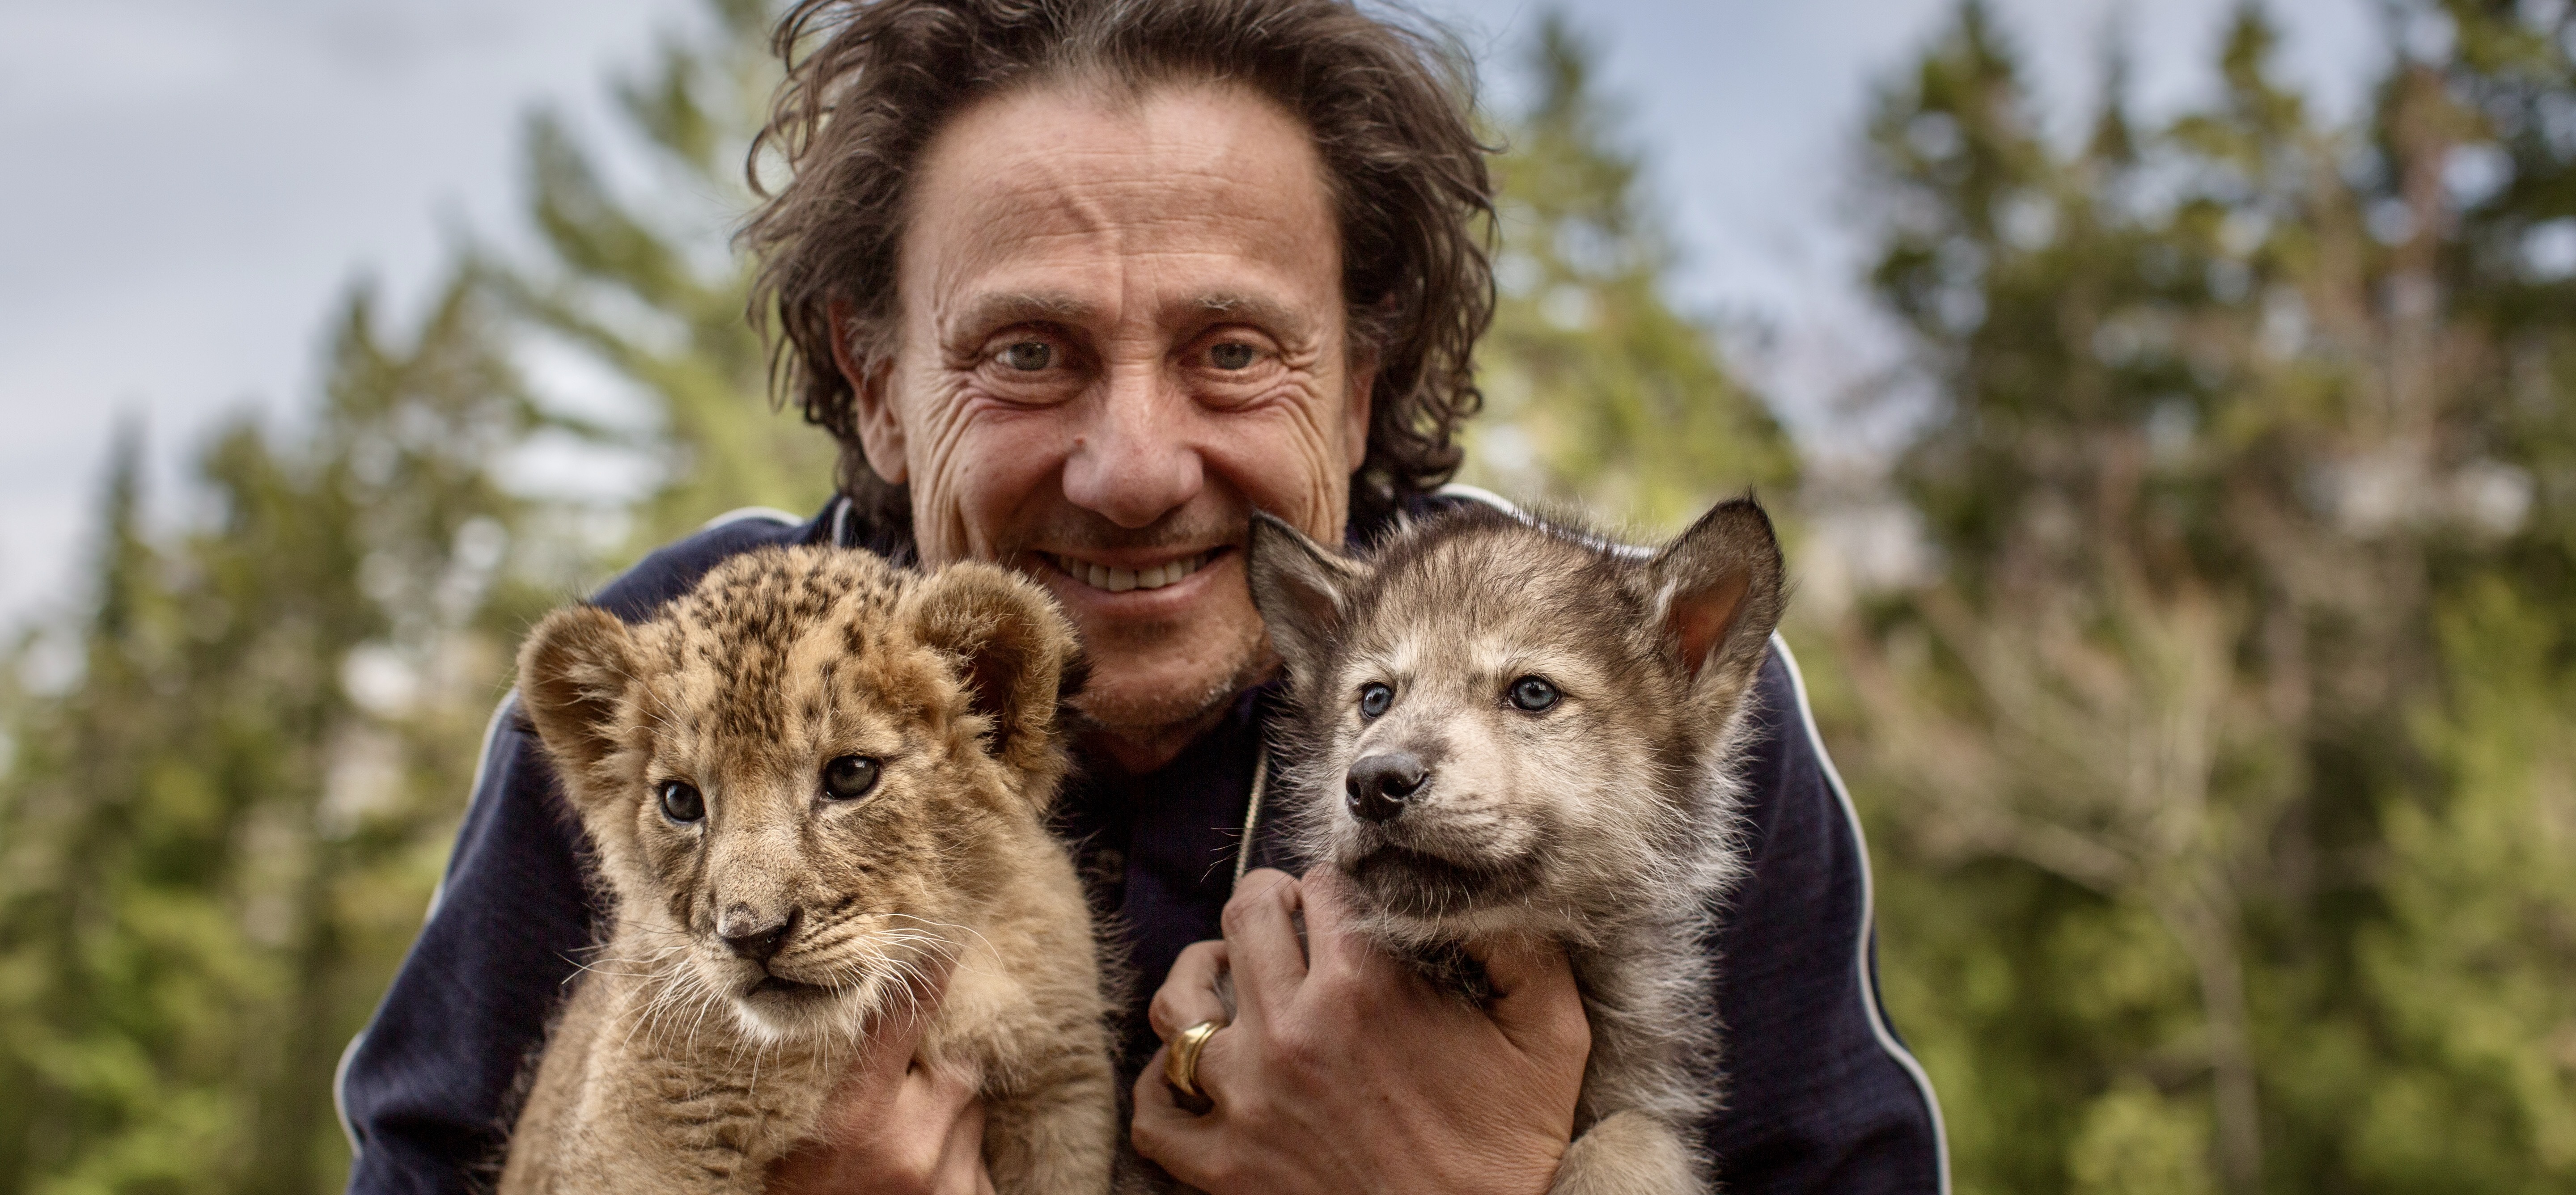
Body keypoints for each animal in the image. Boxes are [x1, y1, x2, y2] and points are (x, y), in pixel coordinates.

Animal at [1245, 496, 1786, 1195]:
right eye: (1375, 698)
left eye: (1533, 692)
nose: (1373, 783)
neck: (1460, 958)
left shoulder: (1638, 1090)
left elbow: (1632, 1138)